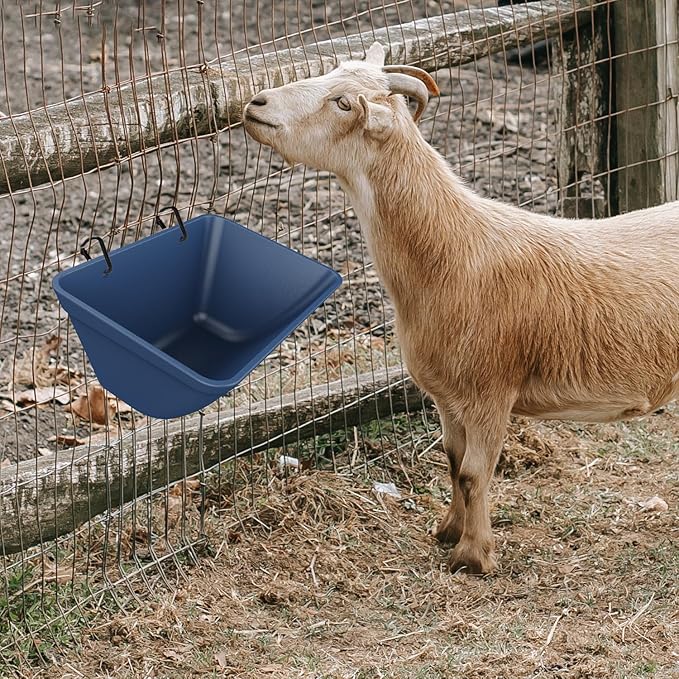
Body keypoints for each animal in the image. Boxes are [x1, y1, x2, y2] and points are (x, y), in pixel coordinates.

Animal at [243, 42, 679, 574]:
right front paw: (447, 531)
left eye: (344, 103)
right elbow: (452, 460)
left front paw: (473, 556)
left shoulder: (492, 390)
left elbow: (475, 473)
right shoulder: (447, 395)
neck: (453, 253)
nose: (257, 103)